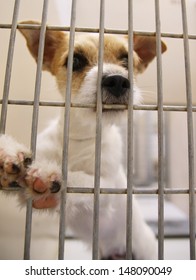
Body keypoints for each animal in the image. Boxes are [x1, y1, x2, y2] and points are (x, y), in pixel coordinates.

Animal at [0, 20, 166, 260]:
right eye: (75, 61)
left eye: (127, 60)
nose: (117, 80)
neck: (79, 137)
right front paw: (9, 155)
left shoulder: (106, 191)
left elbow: (81, 180)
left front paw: (50, 176)